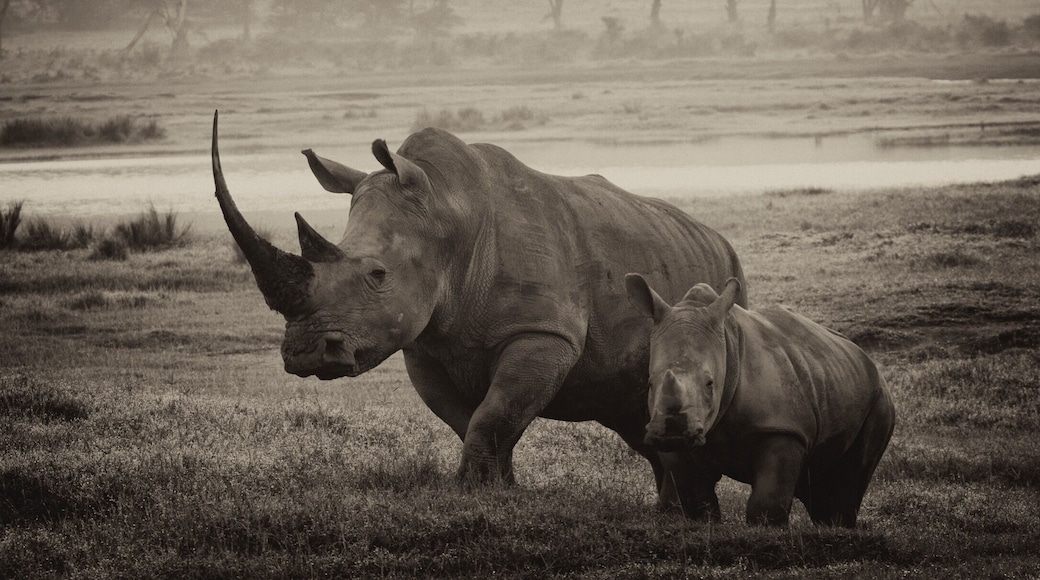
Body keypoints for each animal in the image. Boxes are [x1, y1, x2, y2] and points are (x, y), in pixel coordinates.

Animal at [211, 112, 748, 511]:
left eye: (378, 275)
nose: (304, 353)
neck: (449, 215)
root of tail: (720, 240)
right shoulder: (424, 344)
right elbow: (474, 417)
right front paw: (497, 490)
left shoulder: (544, 334)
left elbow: (496, 411)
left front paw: (474, 492)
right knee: (630, 413)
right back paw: (668, 512)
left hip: (726, 286)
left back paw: (683, 513)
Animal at [624, 275, 895, 526]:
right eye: (650, 384)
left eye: (710, 384)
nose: (673, 433)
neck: (728, 347)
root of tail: (867, 358)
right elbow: (696, 498)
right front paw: (705, 524)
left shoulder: (782, 427)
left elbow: (767, 502)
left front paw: (767, 529)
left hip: (880, 399)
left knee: (849, 481)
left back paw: (837, 526)